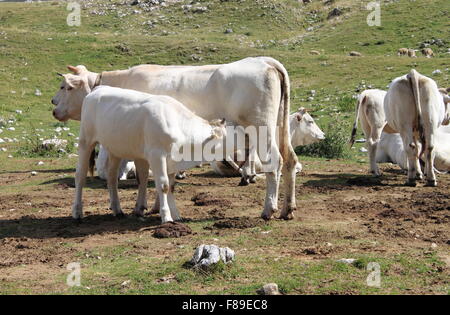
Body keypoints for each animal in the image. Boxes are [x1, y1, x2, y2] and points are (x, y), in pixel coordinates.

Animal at [52, 56, 298, 221]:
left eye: (65, 87)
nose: (53, 106)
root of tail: (265, 61)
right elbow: (150, 178)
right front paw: (148, 207)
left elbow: (147, 177)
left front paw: (149, 207)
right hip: (279, 127)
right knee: (290, 160)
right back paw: (288, 208)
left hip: (262, 129)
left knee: (275, 162)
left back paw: (269, 208)